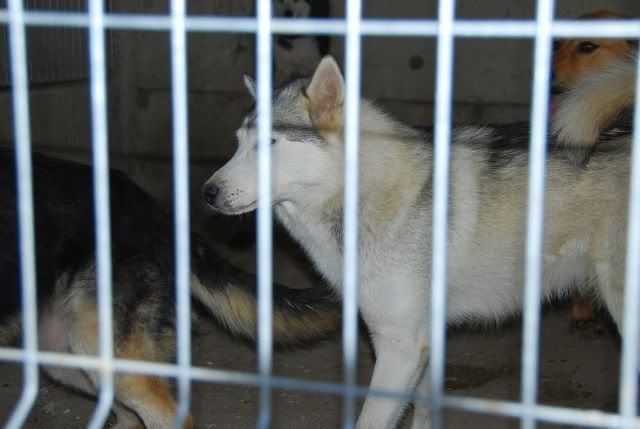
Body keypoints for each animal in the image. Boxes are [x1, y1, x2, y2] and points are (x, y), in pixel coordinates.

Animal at [203, 56, 635, 428]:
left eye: (268, 143)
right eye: (238, 143)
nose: (207, 192)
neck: (364, 194)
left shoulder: (400, 347)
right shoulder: (422, 344)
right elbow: (424, 410)